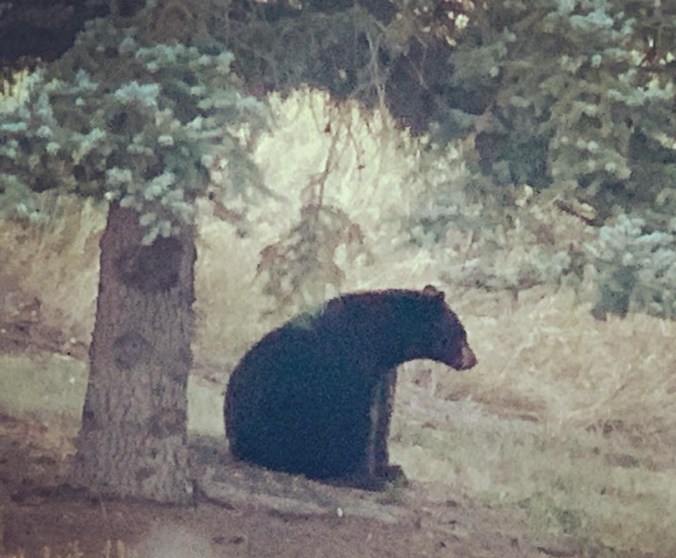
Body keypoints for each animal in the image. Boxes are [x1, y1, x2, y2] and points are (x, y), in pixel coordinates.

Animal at [224, 285, 477, 489]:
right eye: (462, 332)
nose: (473, 359)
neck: (385, 340)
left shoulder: (384, 372)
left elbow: (382, 416)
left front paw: (390, 470)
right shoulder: (352, 364)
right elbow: (356, 418)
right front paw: (365, 478)